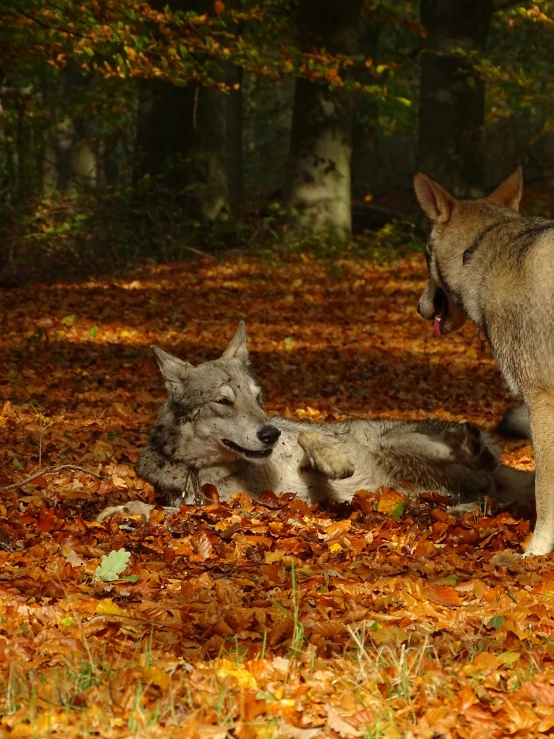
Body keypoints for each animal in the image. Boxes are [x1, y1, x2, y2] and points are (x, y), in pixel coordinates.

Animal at [97, 320, 532, 524]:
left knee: (483, 467)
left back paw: (473, 447)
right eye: (223, 401)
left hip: (395, 441)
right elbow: (152, 507)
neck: (197, 470)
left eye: (258, 399)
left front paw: (333, 461)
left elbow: (310, 433)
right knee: (484, 498)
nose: (268, 433)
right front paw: (119, 512)